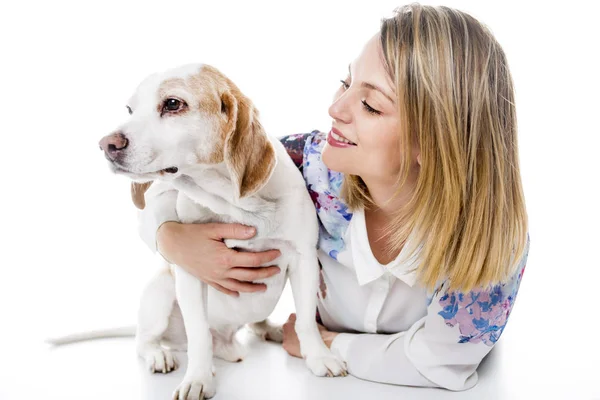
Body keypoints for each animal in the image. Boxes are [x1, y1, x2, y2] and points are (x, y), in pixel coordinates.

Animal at [51, 64, 346, 398]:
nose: (106, 144)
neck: (237, 205)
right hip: (161, 291)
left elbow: (306, 321)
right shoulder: (190, 274)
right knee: (144, 342)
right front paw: (199, 379)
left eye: (172, 104)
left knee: (256, 323)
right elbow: (199, 335)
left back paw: (269, 329)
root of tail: (228, 344)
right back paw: (159, 355)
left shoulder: (304, 260)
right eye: (129, 109)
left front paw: (319, 357)